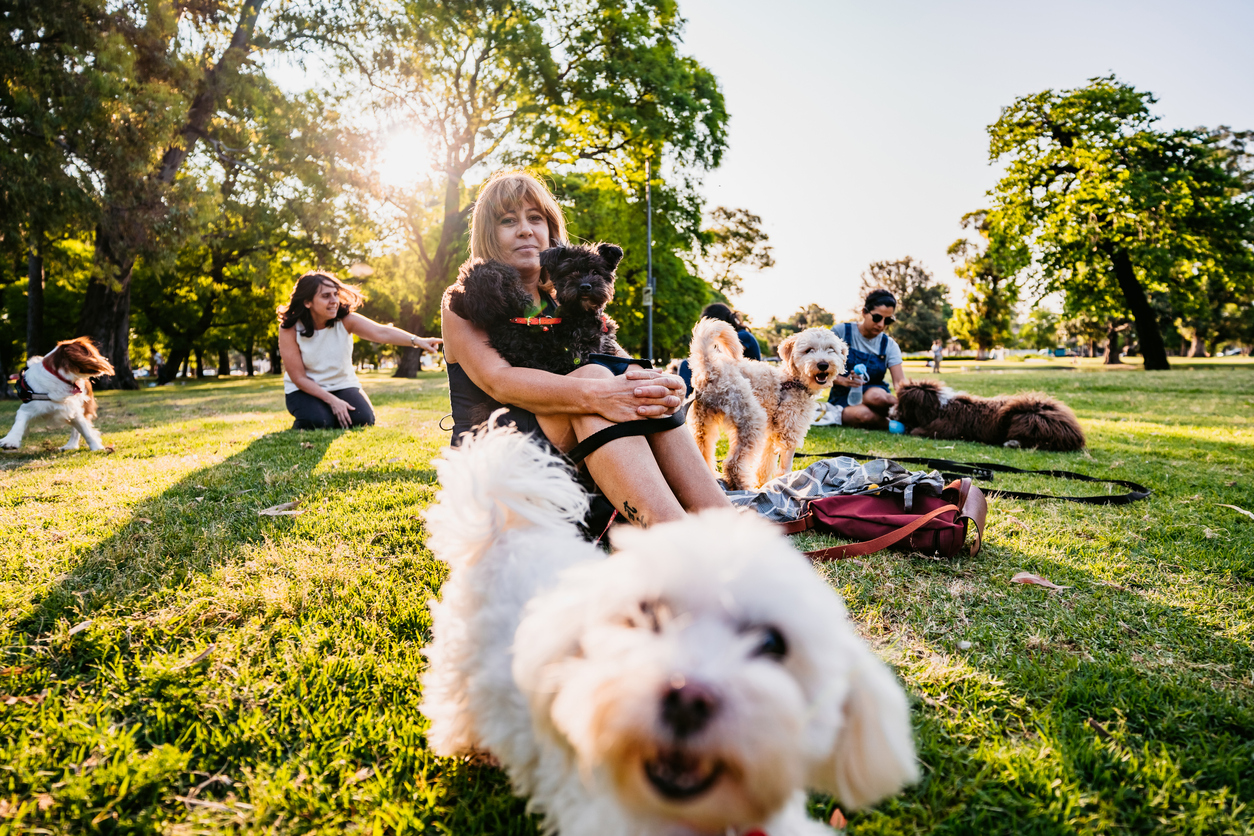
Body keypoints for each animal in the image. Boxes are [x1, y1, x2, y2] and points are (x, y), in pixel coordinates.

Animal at [687, 320, 852, 491]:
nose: (823, 364)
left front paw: (763, 484)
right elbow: (785, 465)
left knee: (702, 453)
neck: (794, 381)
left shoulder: (773, 434)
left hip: (702, 425)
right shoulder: (789, 432)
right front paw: (784, 482)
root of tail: (709, 367)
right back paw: (743, 486)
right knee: (733, 464)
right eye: (809, 350)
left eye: (831, 349)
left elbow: (766, 463)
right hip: (752, 420)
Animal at [892, 378, 1088, 451]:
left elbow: (917, 431)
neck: (938, 406)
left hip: (1027, 417)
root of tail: (1074, 432)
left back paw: (1011, 443)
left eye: (902, 404)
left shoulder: (940, 429)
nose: (890, 412)